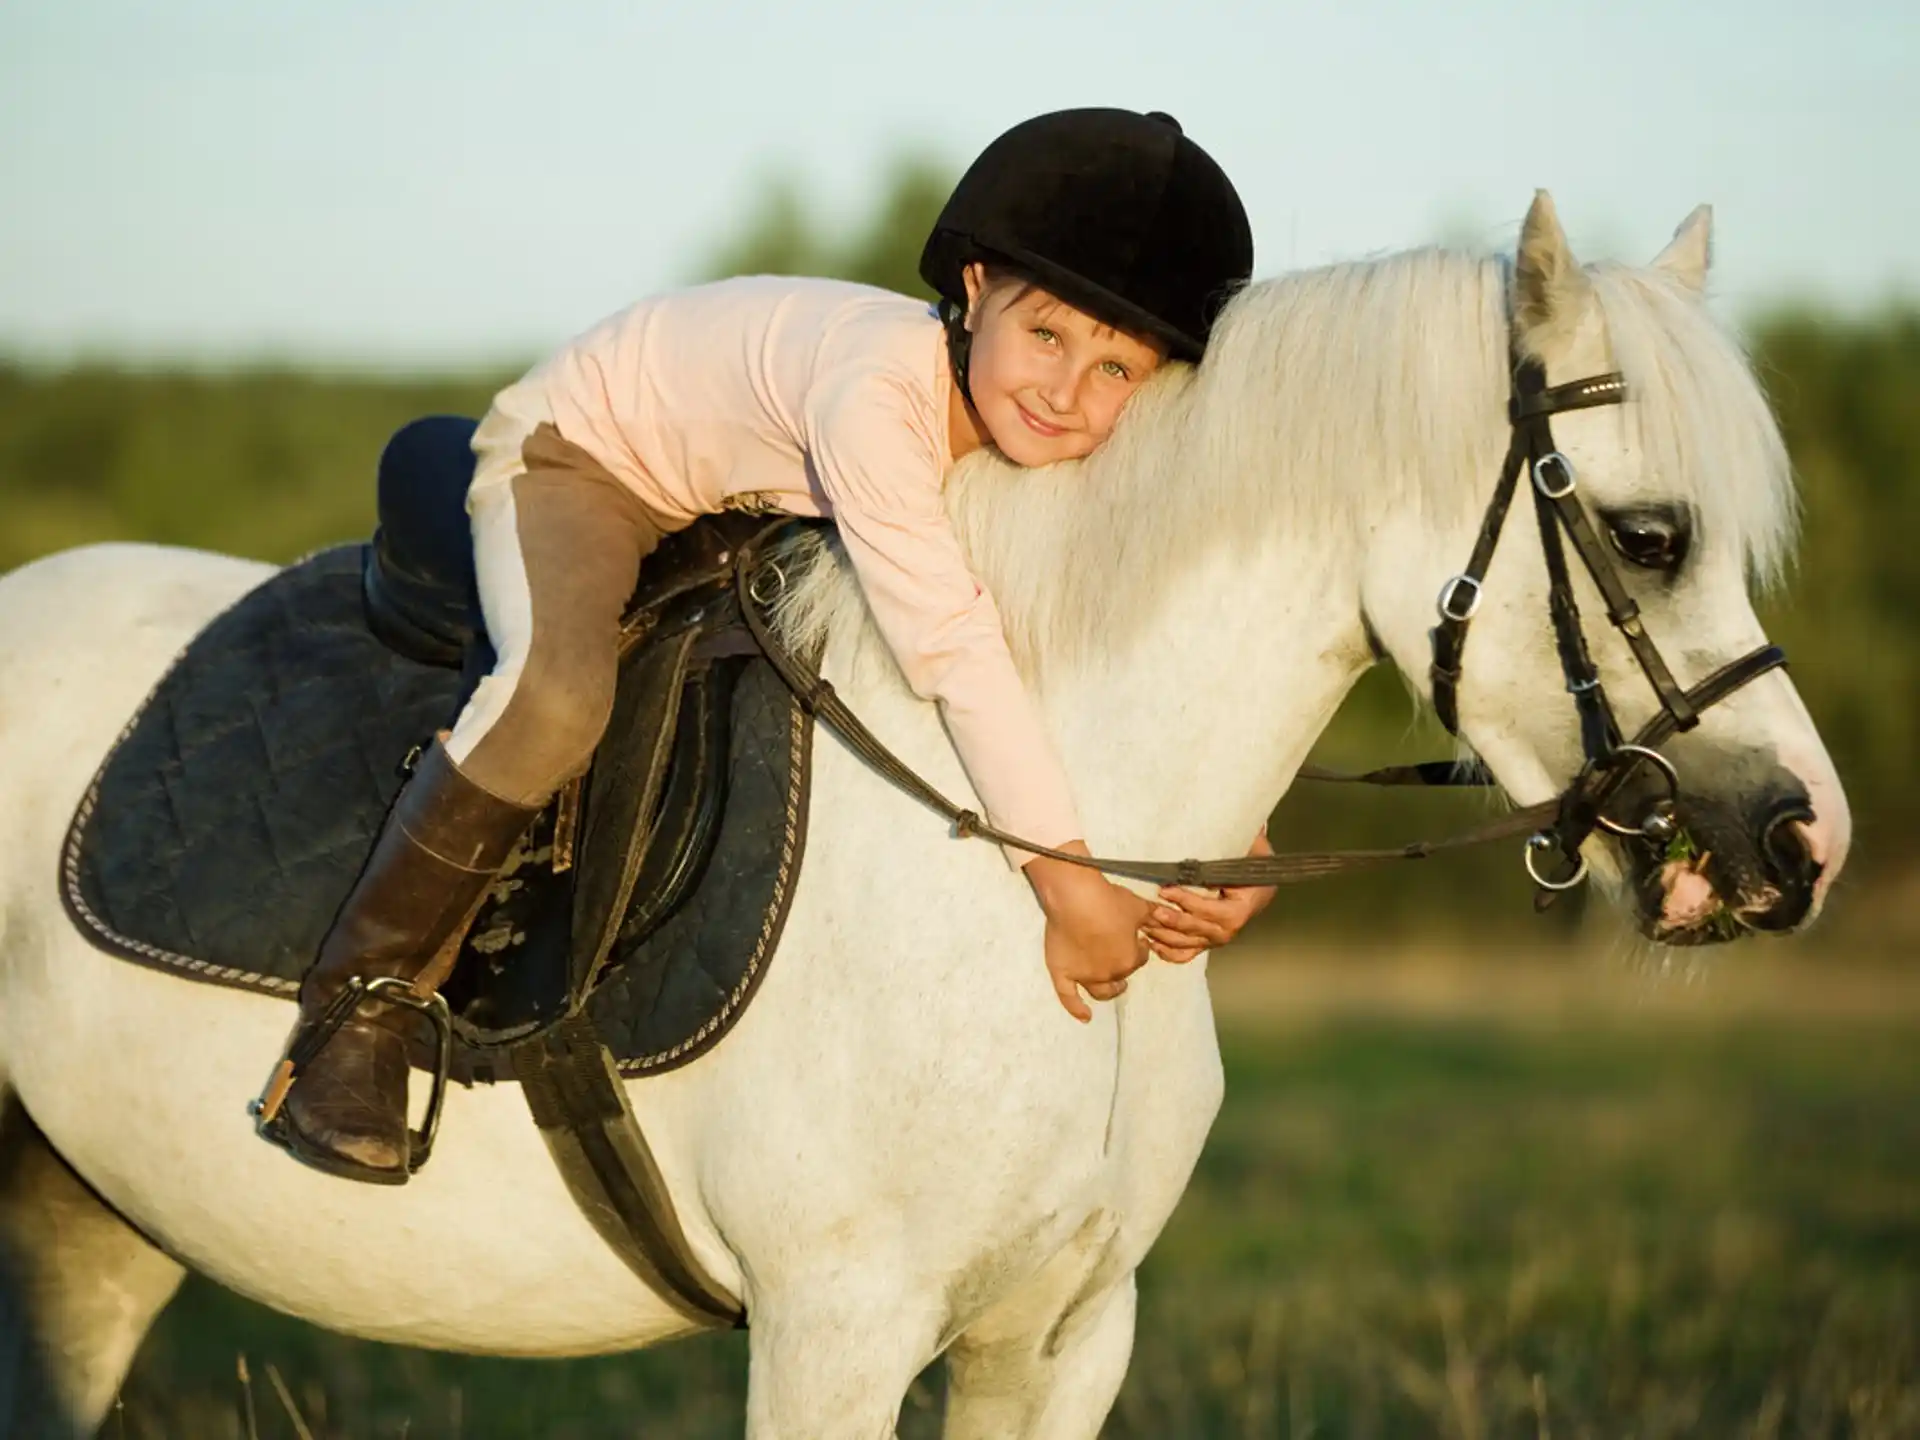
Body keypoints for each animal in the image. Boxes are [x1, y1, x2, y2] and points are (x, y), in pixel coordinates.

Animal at [0, 193, 1848, 1437]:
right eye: (1655, 534)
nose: (1798, 846)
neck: (1024, 863)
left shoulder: (1061, 1335)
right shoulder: (836, 1329)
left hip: (87, 1233)